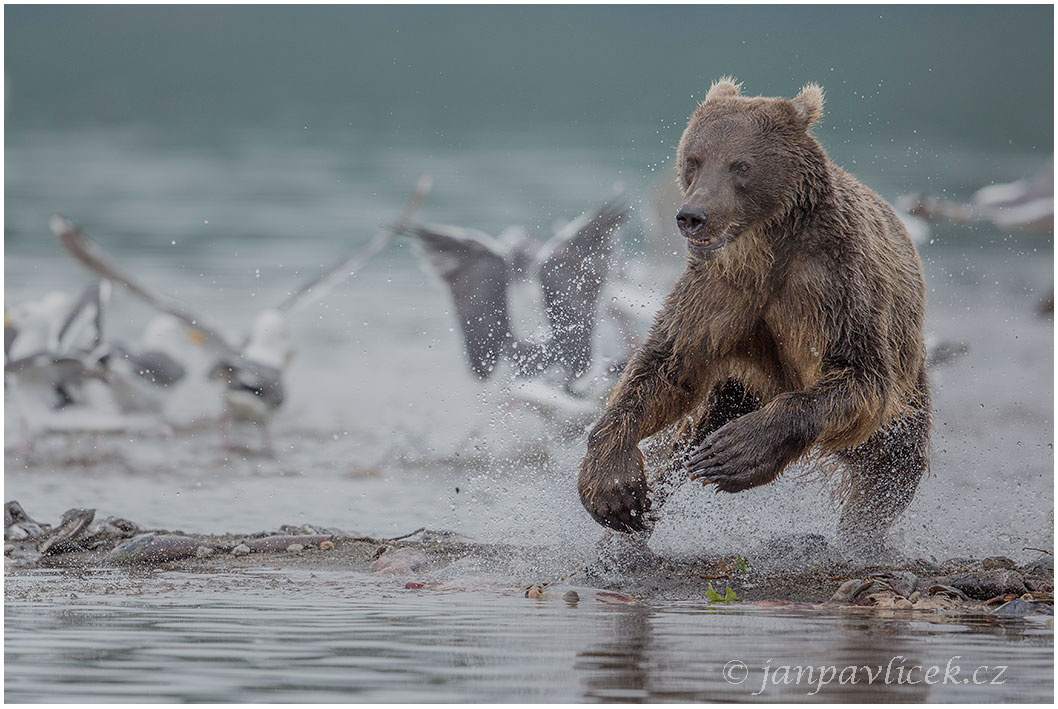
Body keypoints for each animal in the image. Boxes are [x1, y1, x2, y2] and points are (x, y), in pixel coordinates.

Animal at [575, 77, 931, 554]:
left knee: (895, 461)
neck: (765, 249)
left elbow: (860, 376)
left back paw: (861, 534)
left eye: (740, 165)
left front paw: (738, 454)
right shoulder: (718, 292)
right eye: (694, 160)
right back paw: (631, 532)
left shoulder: (833, 285)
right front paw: (612, 484)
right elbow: (665, 366)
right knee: (683, 443)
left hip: (907, 385)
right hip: (737, 387)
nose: (692, 215)